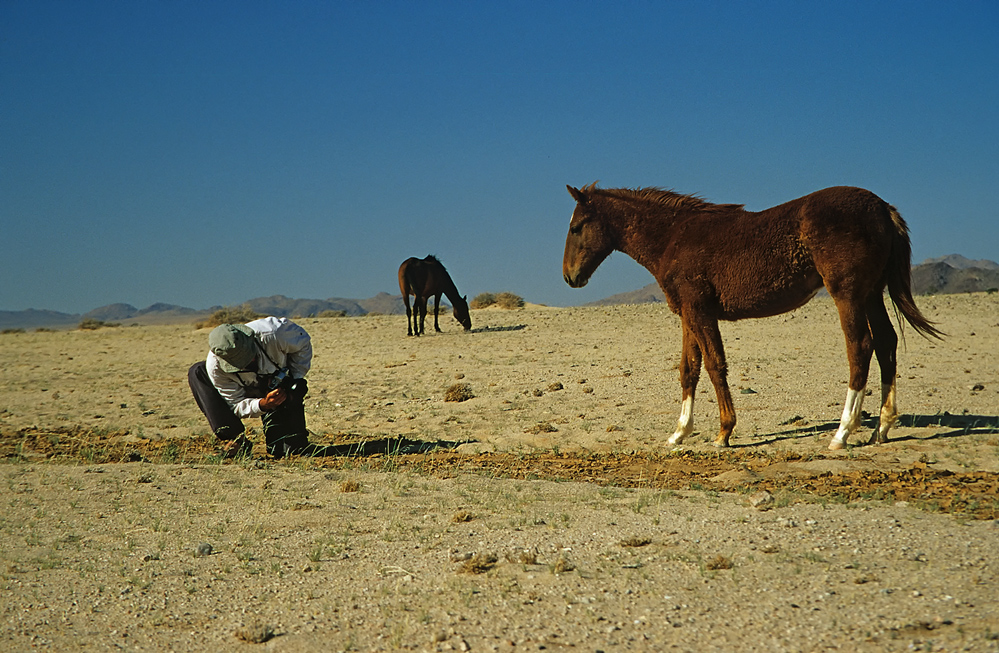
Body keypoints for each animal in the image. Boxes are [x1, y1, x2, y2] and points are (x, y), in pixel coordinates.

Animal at [568, 183, 940, 448]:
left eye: (577, 226)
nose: (570, 277)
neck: (674, 237)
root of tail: (882, 208)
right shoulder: (689, 313)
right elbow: (689, 369)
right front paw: (679, 434)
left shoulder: (700, 312)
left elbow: (715, 366)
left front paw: (724, 432)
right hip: (872, 293)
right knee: (886, 343)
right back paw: (882, 427)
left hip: (848, 295)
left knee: (861, 347)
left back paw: (843, 432)